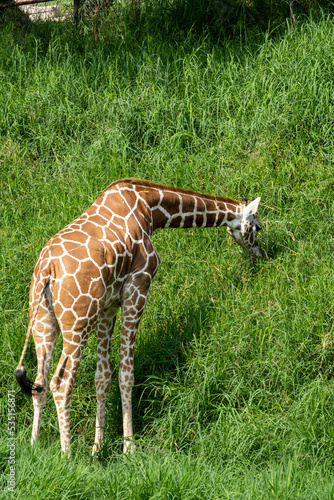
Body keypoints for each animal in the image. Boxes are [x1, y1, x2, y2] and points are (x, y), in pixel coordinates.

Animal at [15, 178, 260, 456]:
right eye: (257, 227)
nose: (259, 253)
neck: (149, 208)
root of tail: (47, 270)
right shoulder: (138, 286)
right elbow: (126, 373)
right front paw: (128, 447)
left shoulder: (109, 306)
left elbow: (103, 376)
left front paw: (98, 449)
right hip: (77, 322)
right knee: (61, 382)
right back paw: (67, 455)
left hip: (43, 321)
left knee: (40, 383)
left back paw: (34, 448)